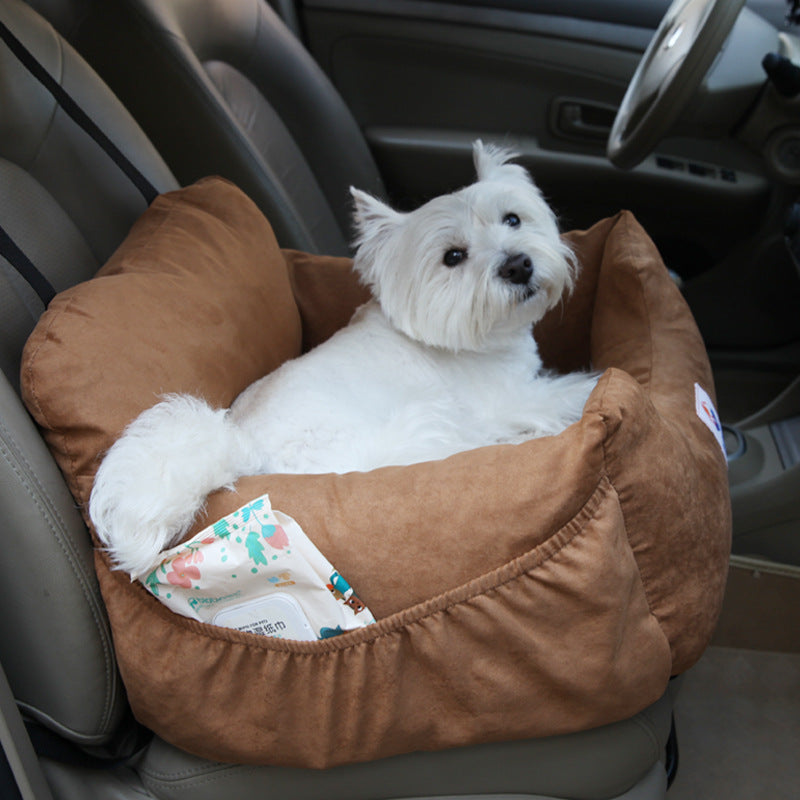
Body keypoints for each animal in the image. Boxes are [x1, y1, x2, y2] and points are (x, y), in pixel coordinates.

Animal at [90, 142, 596, 576]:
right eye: (453, 257)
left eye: (513, 219)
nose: (518, 265)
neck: (473, 340)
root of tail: (242, 448)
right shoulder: (511, 401)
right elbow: (566, 393)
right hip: (418, 427)